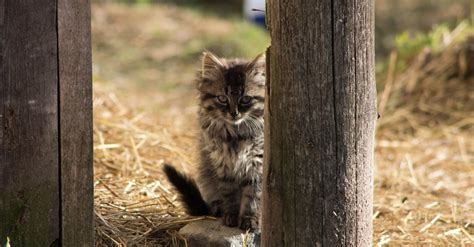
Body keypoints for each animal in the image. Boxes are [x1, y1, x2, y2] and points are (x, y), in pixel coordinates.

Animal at [165, 51, 264, 231]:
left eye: (245, 99)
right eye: (222, 99)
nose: (234, 113)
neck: (235, 135)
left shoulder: (257, 163)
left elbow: (253, 195)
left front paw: (249, 219)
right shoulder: (222, 164)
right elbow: (230, 194)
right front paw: (231, 216)